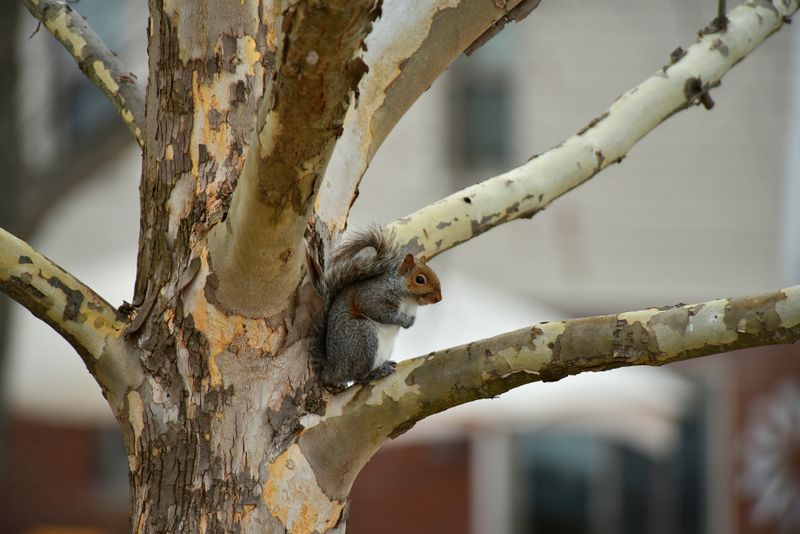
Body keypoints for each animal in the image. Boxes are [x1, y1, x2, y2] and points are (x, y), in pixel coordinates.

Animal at [307, 227, 442, 387]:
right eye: (420, 279)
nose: (439, 298)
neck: (409, 301)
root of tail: (332, 371)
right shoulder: (372, 295)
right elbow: (378, 310)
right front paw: (403, 320)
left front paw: (410, 322)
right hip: (361, 336)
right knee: (358, 376)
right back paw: (375, 373)